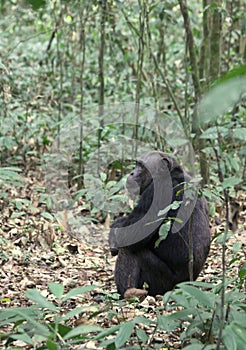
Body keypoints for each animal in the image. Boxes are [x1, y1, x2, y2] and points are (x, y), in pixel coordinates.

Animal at [108, 151, 210, 298]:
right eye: (136, 164)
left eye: (142, 166)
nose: (132, 173)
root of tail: (186, 285)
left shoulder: (158, 191)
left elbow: (132, 234)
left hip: (161, 283)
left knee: (129, 251)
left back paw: (129, 294)